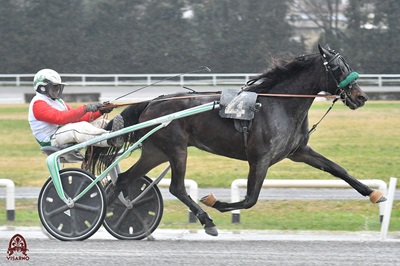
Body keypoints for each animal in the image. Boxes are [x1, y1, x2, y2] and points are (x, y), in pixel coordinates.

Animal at [88, 44, 388, 236]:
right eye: (338, 67)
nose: (361, 97)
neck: (278, 105)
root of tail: (153, 102)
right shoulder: (260, 158)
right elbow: (250, 199)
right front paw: (216, 203)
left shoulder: (299, 151)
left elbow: (338, 169)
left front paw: (374, 193)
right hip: (176, 149)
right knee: (177, 188)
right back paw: (206, 220)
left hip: (155, 152)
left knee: (123, 180)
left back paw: (101, 216)